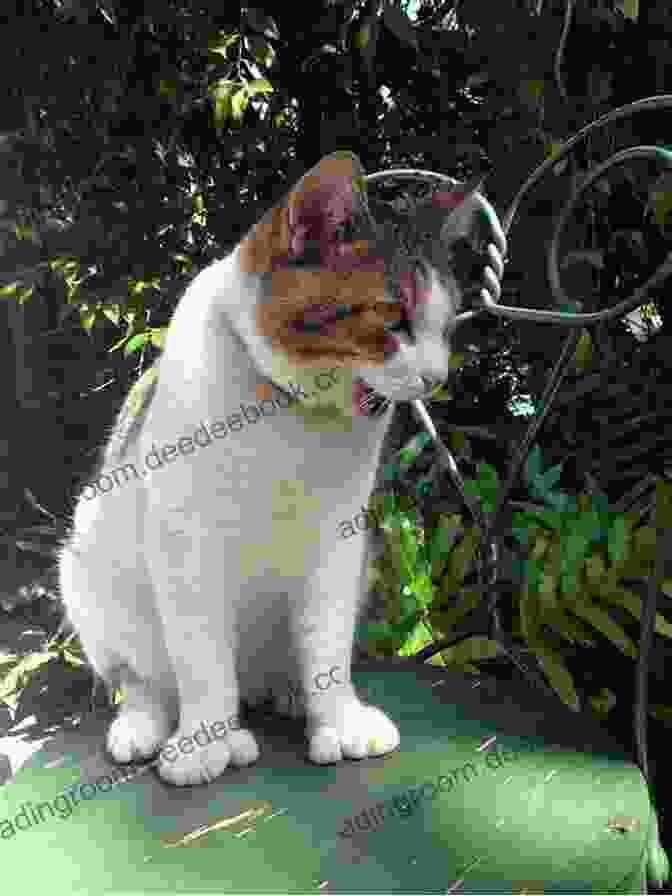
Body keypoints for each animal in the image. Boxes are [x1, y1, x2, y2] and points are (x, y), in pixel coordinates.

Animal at [57, 152, 506, 784]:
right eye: (392, 318)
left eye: (445, 328)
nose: (436, 377)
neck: (289, 414)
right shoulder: (185, 538)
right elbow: (200, 657)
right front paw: (206, 741)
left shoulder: (339, 536)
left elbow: (327, 647)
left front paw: (337, 720)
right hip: (84, 568)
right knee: (145, 682)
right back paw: (146, 724)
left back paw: (290, 693)